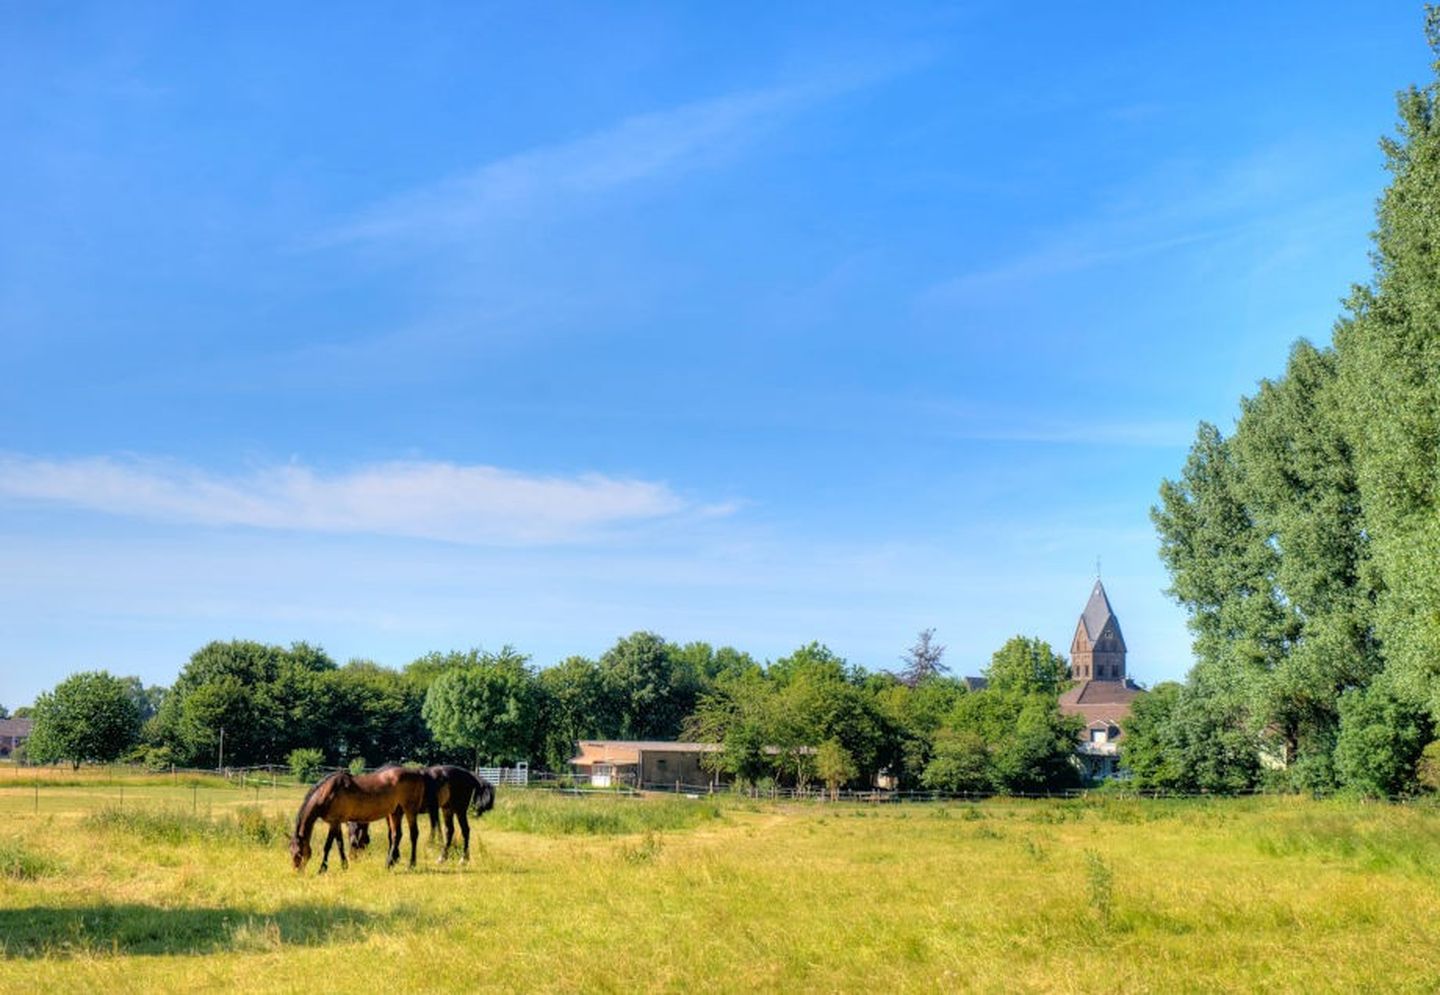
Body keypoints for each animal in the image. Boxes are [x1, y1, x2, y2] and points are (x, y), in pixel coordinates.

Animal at [289, 766, 426, 875]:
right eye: (290, 852)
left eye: (299, 853)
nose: (297, 871)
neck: (328, 792)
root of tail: (417, 773)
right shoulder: (337, 823)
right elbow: (340, 844)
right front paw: (344, 865)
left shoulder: (334, 822)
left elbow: (328, 845)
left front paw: (322, 869)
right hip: (395, 812)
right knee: (396, 836)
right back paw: (389, 864)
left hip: (410, 810)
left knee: (414, 835)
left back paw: (411, 864)